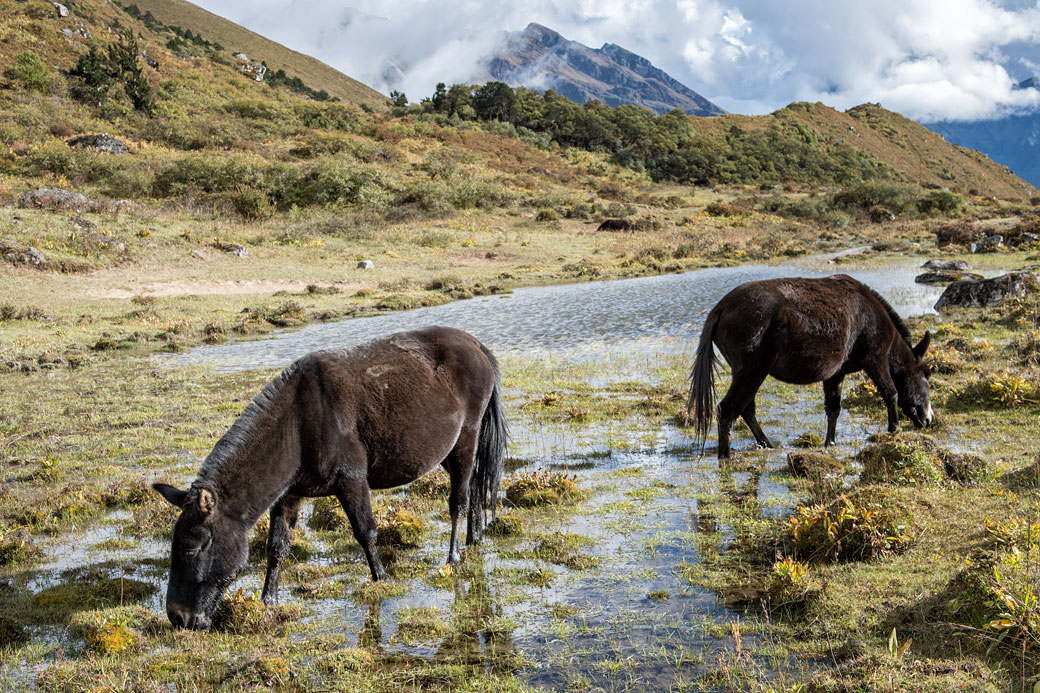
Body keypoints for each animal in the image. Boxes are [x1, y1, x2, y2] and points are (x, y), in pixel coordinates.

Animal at [152, 324, 507, 624]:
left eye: (191, 548)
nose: (178, 617)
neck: (297, 426)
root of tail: (475, 344)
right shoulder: (289, 495)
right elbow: (277, 547)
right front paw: (268, 599)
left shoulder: (351, 481)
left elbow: (366, 532)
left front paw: (381, 578)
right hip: (449, 451)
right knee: (475, 487)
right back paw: (474, 539)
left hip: (466, 440)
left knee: (459, 500)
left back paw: (453, 557)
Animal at [690, 274, 935, 457]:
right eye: (926, 375)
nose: (928, 420)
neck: (872, 315)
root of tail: (720, 308)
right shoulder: (876, 360)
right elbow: (890, 392)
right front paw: (894, 429)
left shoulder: (836, 374)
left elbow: (833, 409)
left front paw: (831, 442)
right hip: (752, 372)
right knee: (728, 411)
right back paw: (725, 456)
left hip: (746, 374)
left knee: (746, 409)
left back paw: (766, 443)